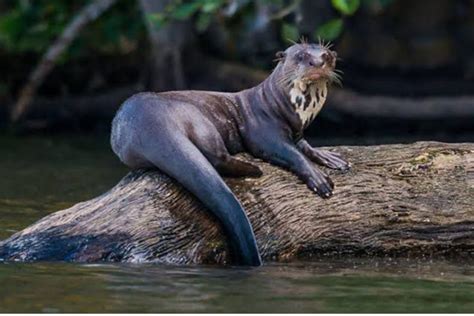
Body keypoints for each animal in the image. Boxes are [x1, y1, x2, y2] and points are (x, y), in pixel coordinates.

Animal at [110, 40, 348, 266]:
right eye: (301, 55)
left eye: (326, 55)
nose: (317, 62)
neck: (279, 105)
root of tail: (149, 122)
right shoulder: (263, 131)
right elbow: (290, 152)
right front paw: (318, 178)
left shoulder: (297, 132)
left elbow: (304, 145)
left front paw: (330, 159)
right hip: (198, 119)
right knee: (216, 157)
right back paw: (254, 169)